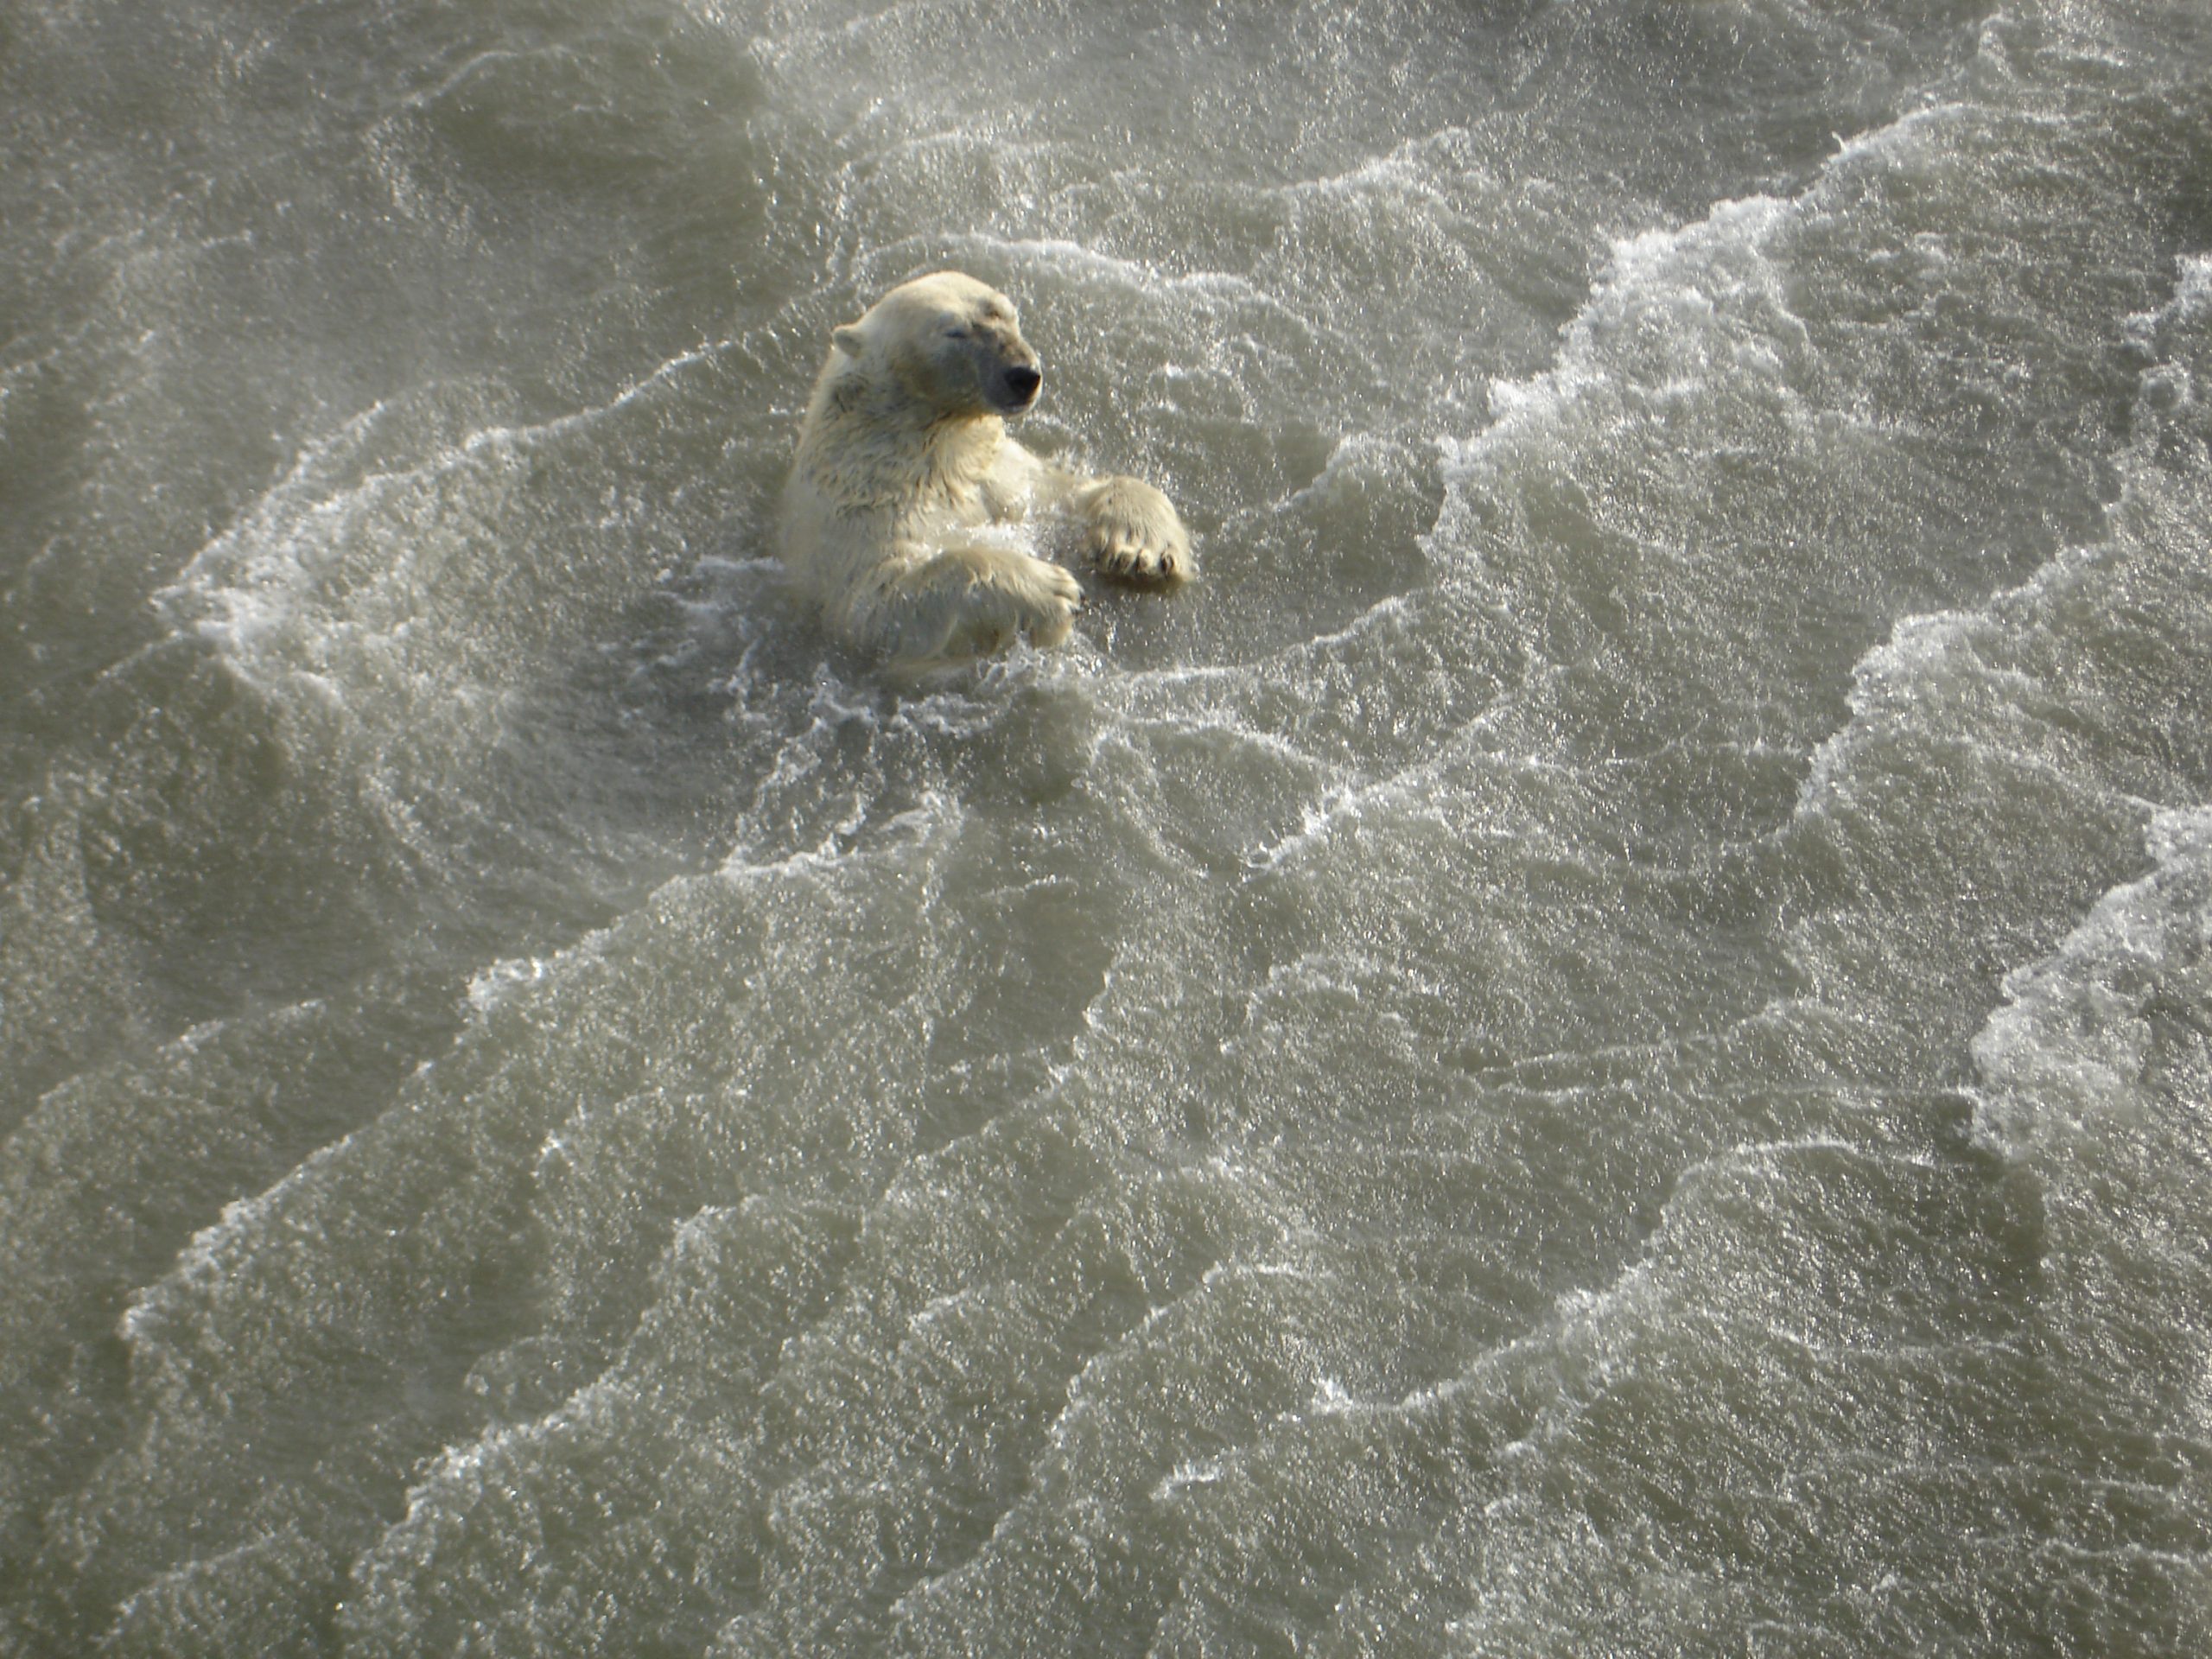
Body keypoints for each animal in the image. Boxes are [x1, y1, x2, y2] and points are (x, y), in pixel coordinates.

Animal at [776, 271, 1192, 671]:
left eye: (1008, 314)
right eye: (955, 331)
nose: (1024, 374)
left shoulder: (999, 473)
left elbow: (1066, 496)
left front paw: (1138, 549)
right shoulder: (861, 509)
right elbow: (878, 601)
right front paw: (1054, 589)